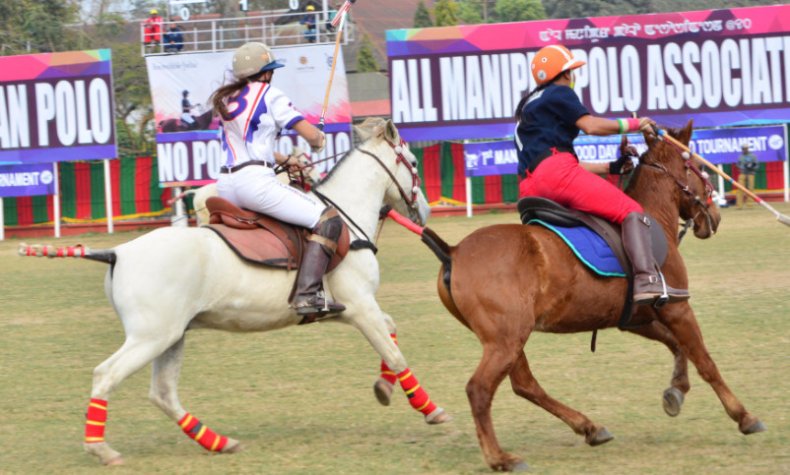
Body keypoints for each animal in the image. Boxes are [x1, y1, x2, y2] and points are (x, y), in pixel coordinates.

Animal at [23, 118, 452, 464]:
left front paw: (383, 388)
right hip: (150, 336)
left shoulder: (348, 308)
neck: (347, 215)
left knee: (163, 393)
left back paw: (217, 442)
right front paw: (432, 410)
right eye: (413, 164)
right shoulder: (360, 305)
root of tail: (117, 252)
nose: (426, 212)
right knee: (106, 375)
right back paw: (102, 449)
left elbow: (391, 331)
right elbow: (395, 352)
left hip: (171, 335)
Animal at [426, 122, 768, 472]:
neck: (655, 216)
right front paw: (743, 416)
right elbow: (705, 361)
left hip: (508, 337)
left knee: (524, 384)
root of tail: (453, 251)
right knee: (480, 389)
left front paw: (676, 391)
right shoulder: (677, 307)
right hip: (506, 338)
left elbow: (676, 346)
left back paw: (589, 427)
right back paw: (501, 458)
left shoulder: (637, 317)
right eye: (698, 167)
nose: (714, 215)